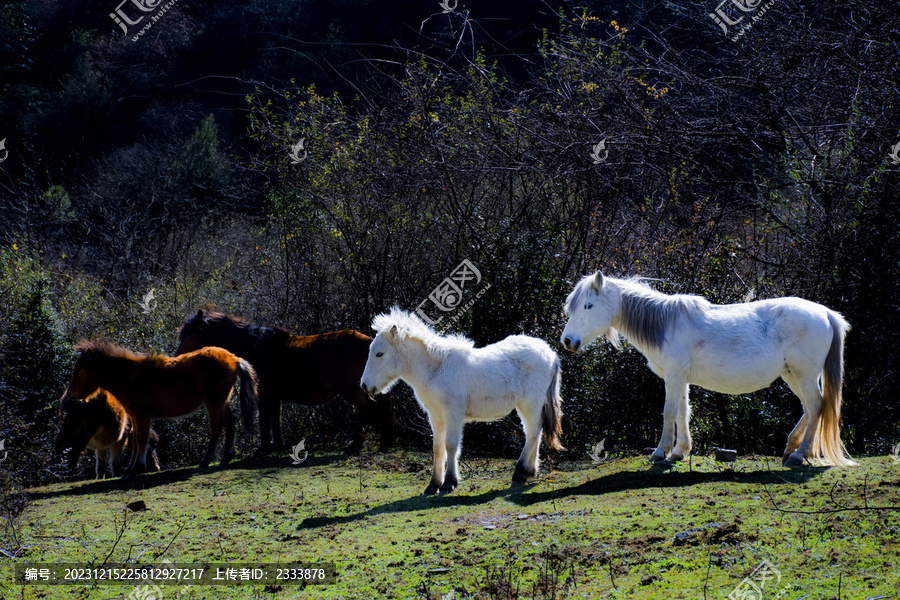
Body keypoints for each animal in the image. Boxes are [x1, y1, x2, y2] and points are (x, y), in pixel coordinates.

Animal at [62, 340, 260, 476]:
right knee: (230, 422)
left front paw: (135, 469)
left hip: (214, 403)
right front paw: (131, 468)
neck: (130, 378)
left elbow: (141, 441)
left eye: (79, 370)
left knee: (217, 427)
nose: (69, 396)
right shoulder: (136, 417)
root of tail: (234, 358)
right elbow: (136, 442)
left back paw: (206, 460)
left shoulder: (142, 416)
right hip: (220, 402)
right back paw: (227, 456)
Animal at [176, 312, 394, 452]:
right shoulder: (274, 395)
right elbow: (276, 420)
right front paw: (277, 446)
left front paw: (263, 448)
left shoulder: (263, 393)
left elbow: (265, 420)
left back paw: (362, 444)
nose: (177, 357)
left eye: (188, 335)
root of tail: (368, 342)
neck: (254, 346)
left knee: (370, 410)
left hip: (350, 390)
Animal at [358, 310, 564, 492]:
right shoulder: (436, 416)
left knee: (533, 432)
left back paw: (520, 472)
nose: (364, 385)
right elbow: (437, 448)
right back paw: (529, 472)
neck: (436, 370)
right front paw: (433, 485)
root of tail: (551, 354)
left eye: (379, 354)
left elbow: (451, 445)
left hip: (530, 404)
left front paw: (449, 482)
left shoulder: (453, 414)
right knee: (533, 432)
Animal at [560, 274, 856, 468]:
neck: (664, 325)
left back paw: (798, 455)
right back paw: (793, 448)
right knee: (810, 408)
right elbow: (683, 411)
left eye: (588, 306)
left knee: (816, 407)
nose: (567, 341)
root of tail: (826, 313)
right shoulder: (679, 379)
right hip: (793, 375)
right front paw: (679, 451)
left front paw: (660, 452)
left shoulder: (674, 377)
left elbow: (669, 412)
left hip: (803, 375)